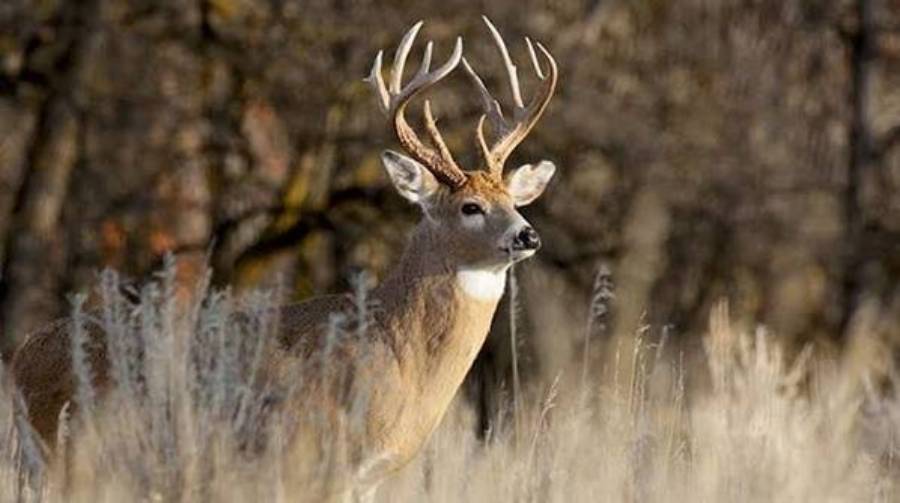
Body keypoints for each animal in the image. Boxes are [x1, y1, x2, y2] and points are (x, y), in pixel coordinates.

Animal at [10, 17, 558, 500]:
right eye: (471, 207)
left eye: (515, 201)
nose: (528, 235)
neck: (399, 355)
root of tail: (20, 356)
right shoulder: (311, 458)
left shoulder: (365, 478)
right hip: (72, 456)